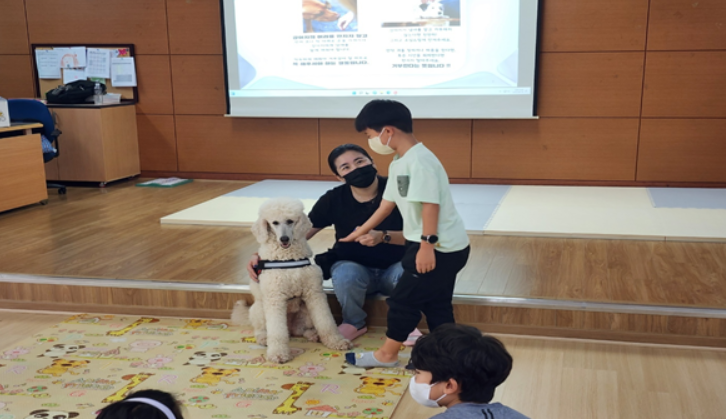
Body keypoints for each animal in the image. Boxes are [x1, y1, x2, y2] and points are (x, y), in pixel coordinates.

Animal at [232, 197, 352, 364]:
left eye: (290, 221)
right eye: (274, 222)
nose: (284, 239)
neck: (287, 257)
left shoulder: (314, 294)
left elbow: (326, 322)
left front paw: (336, 342)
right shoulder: (275, 299)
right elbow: (277, 332)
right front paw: (278, 354)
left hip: (305, 312)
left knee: (301, 330)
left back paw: (313, 334)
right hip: (260, 309)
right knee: (262, 330)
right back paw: (264, 339)